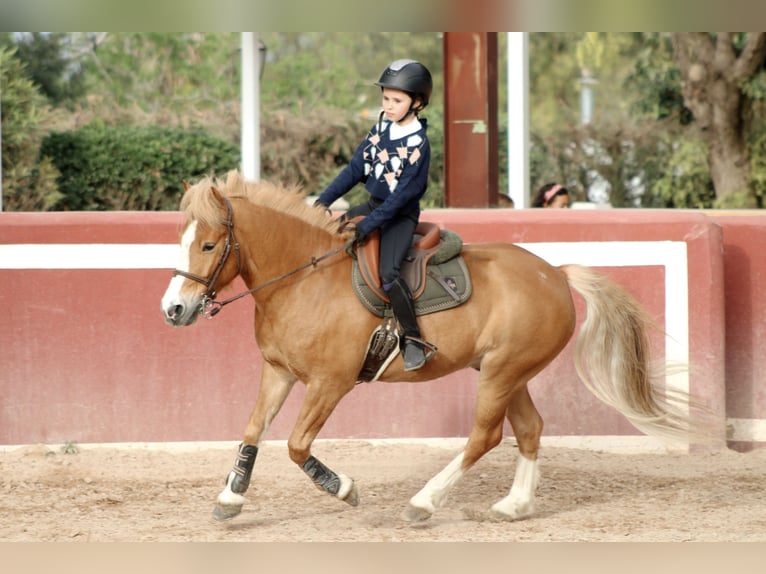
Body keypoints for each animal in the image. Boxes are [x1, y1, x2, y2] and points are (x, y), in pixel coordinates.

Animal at [160, 170, 696, 520]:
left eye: (208, 245)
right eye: (180, 241)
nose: (174, 310)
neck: (304, 280)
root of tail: (555, 274)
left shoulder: (330, 383)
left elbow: (295, 445)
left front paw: (344, 489)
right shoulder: (278, 372)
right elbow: (252, 430)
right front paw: (231, 498)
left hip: (501, 373)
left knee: (485, 436)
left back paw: (425, 502)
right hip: (507, 373)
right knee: (529, 429)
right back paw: (514, 505)